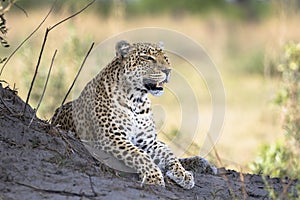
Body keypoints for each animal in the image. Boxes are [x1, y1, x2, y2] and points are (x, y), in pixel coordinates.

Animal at [51, 40, 216, 189]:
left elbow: (169, 154)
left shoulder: (148, 142)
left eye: (165, 58)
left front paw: (183, 174)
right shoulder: (113, 138)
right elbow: (140, 156)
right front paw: (154, 177)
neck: (137, 100)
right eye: (148, 58)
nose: (168, 71)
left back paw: (203, 164)